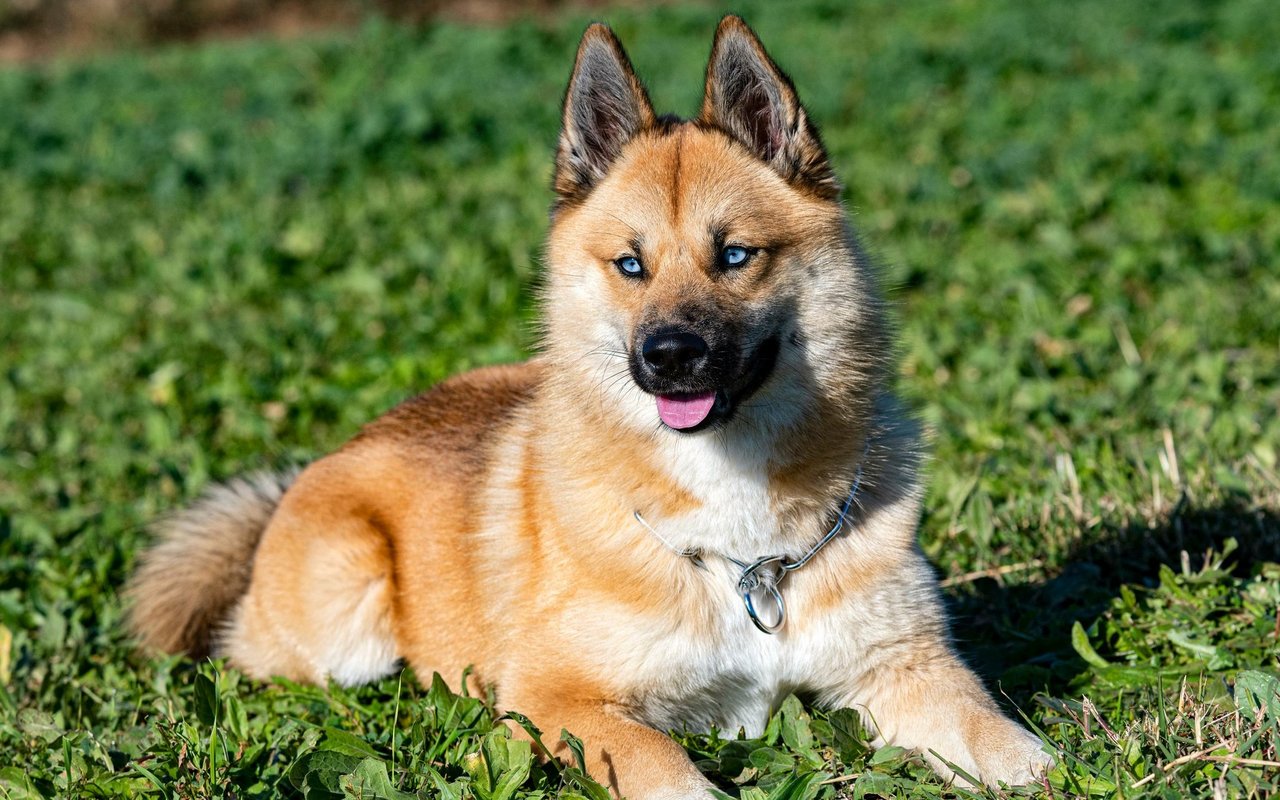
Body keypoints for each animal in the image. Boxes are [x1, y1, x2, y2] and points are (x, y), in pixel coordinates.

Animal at [127, 15, 1049, 793]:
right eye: (630, 264)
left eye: (736, 255)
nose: (668, 357)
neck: (744, 554)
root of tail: (313, 470)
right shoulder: (557, 701)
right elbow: (670, 771)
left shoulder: (904, 667)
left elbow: (1014, 748)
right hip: (343, 621)